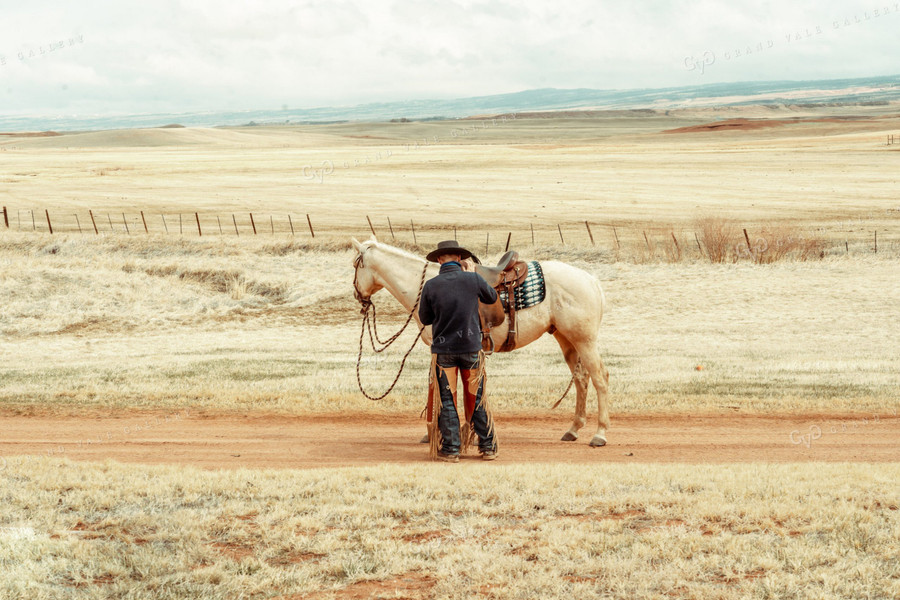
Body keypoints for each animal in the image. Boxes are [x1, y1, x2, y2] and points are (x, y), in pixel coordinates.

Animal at [352, 237, 612, 448]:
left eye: (355, 264)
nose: (357, 295)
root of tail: (591, 280)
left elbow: (447, 386)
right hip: (567, 340)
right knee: (581, 379)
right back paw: (573, 429)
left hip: (584, 340)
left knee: (599, 378)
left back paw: (600, 434)